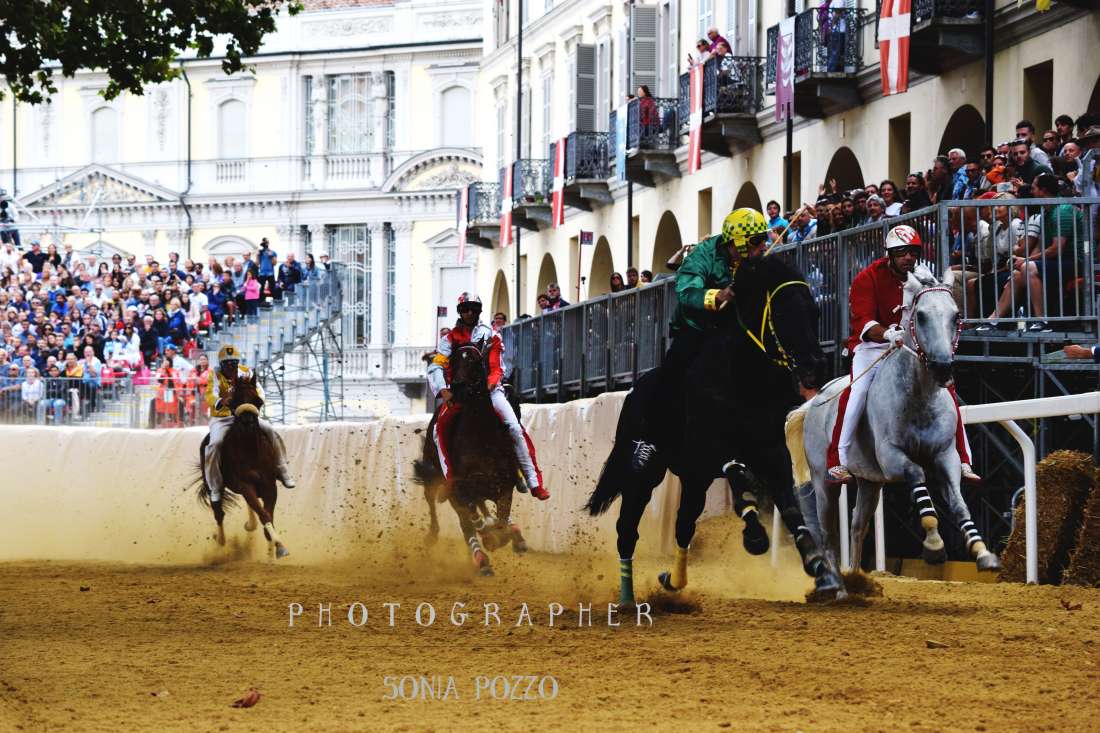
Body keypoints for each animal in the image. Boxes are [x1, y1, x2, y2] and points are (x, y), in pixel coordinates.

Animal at [199, 374, 290, 556]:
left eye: (258, 401)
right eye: (234, 401)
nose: (248, 422)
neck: (250, 451)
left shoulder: (269, 484)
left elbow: (267, 515)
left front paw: (274, 547)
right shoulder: (244, 484)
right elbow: (263, 514)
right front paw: (279, 545)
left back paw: (250, 525)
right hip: (212, 480)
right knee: (219, 512)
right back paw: (220, 538)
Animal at [413, 338, 530, 572]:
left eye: (476, 360)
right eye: (453, 360)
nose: (458, 387)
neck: (480, 434)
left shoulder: (504, 486)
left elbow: (501, 518)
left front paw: (504, 535)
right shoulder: (460, 488)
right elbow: (473, 520)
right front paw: (489, 537)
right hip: (434, 473)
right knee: (440, 505)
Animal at [589, 253, 836, 603]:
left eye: (814, 312)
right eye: (781, 312)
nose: (815, 366)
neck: (743, 376)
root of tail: (633, 395)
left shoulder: (771, 451)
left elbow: (789, 505)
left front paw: (819, 567)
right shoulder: (708, 450)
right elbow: (737, 475)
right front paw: (755, 536)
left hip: (693, 480)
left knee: (684, 524)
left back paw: (673, 580)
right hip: (646, 473)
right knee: (627, 529)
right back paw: (627, 598)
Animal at [787, 263, 1003, 594]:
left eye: (956, 316)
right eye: (921, 316)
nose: (943, 367)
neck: (918, 396)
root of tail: (812, 404)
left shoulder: (945, 455)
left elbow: (957, 502)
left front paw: (981, 550)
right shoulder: (891, 456)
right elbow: (916, 474)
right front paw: (934, 542)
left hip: (869, 482)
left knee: (857, 525)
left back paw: (855, 577)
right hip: (824, 481)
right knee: (827, 532)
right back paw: (838, 586)